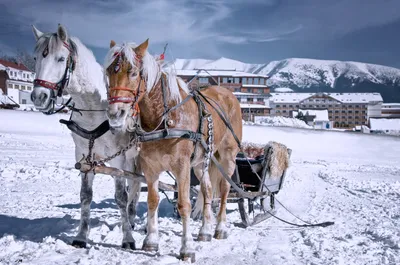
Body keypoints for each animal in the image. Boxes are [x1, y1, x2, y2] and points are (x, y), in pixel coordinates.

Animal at [30, 23, 141, 249]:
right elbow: (85, 196)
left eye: (60, 59)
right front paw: (81, 236)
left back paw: (132, 218)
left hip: (134, 159)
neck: (94, 110)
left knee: (136, 186)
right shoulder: (83, 157)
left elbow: (121, 197)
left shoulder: (118, 158)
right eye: (36, 58)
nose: (39, 97)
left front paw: (127, 238)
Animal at [103, 39, 242, 260]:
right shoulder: (150, 166)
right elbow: (152, 200)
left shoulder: (181, 166)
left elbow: (184, 204)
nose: (115, 114)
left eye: (133, 72)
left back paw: (220, 228)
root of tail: (228, 94)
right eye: (109, 72)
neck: (164, 119)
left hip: (227, 156)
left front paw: (187, 248)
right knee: (207, 189)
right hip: (201, 162)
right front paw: (151, 241)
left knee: (225, 190)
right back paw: (205, 231)